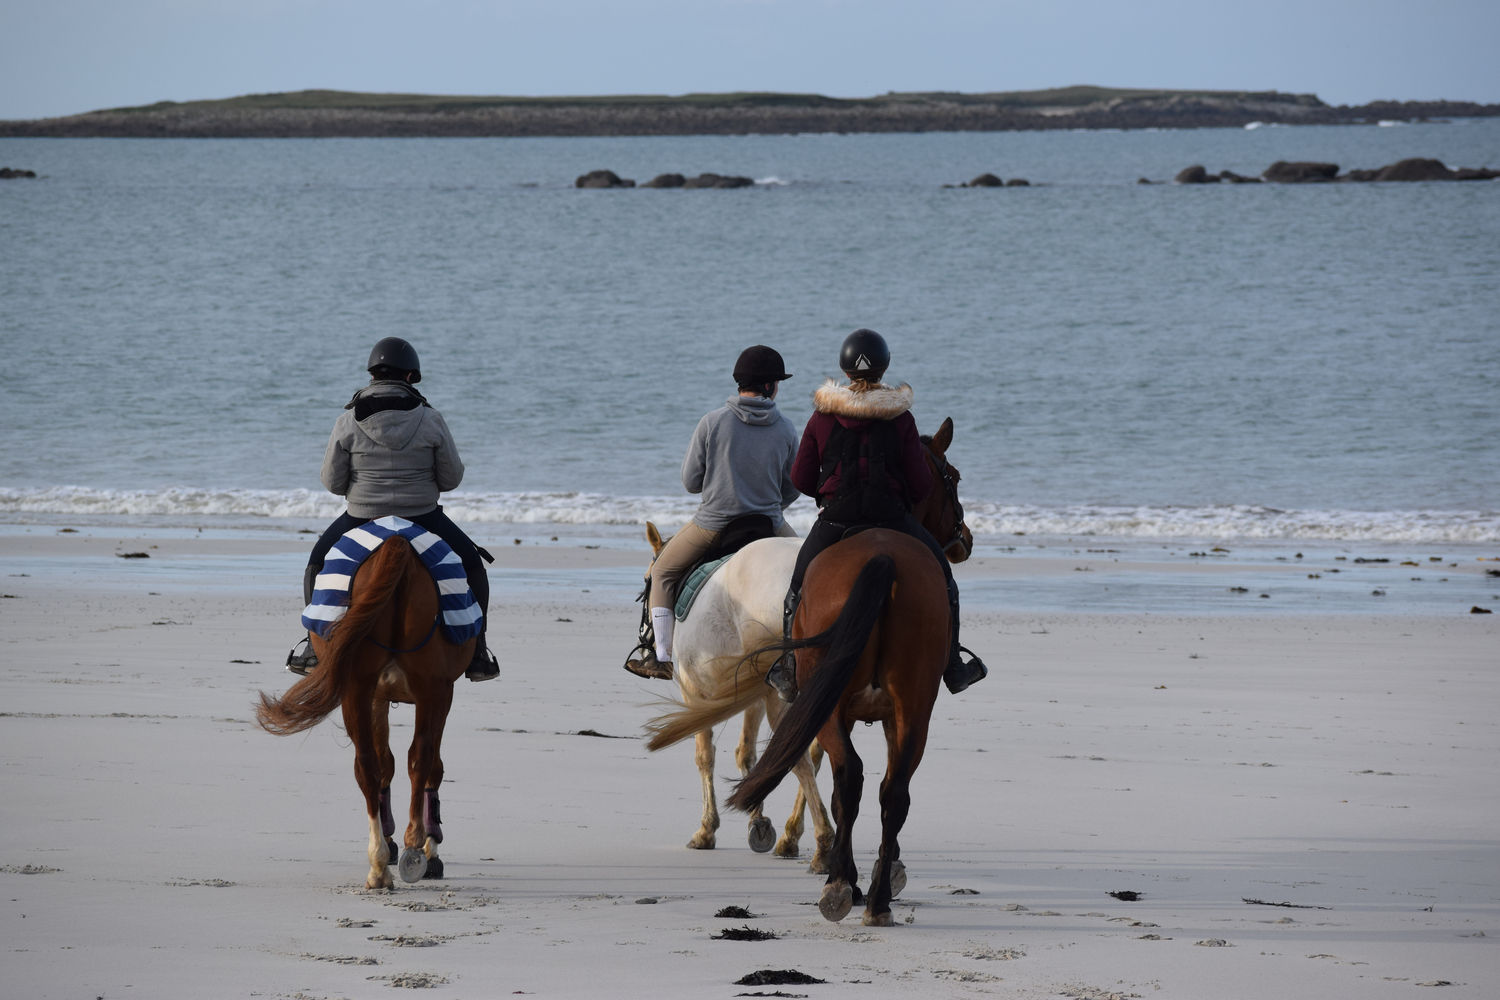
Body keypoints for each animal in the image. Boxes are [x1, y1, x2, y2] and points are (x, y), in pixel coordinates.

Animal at [255, 536, 471, 887]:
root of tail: (398, 545)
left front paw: (395, 839)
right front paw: (429, 846)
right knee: (420, 759)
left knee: (368, 765)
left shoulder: (379, 695)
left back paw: (380, 864)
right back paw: (413, 849)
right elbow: (423, 766)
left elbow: (385, 764)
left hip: (357, 688)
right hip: (430, 689)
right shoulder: (438, 692)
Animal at [639, 524, 840, 869]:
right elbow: (746, 752)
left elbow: (705, 755)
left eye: (645, 581)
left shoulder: (694, 690)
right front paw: (757, 821)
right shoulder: (754, 694)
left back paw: (821, 844)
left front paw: (707, 830)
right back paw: (799, 837)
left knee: (798, 756)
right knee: (814, 753)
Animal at [723, 413, 978, 923]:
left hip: (840, 709)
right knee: (888, 789)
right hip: (909, 709)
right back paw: (874, 896)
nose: (966, 540)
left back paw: (845, 886)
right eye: (954, 478)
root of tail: (882, 556)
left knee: (853, 781)